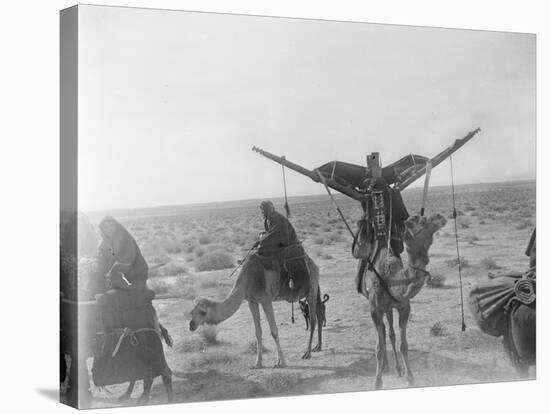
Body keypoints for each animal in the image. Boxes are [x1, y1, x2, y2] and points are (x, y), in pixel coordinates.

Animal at [192, 252, 326, 368]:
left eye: (203, 312)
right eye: (191, 312)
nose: (191, 325)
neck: (246, 280)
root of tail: (312, 262)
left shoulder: (265, 299)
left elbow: (274, 331)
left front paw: (282, 362)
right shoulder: (252, 301)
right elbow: (258, 332)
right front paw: (258, 363)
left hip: (311, 287)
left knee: (313, 320)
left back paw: (307, 353)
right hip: (313, 288)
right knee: (319, 312)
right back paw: (317, 347)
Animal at [358, 212, 448, 390]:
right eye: (421, 221)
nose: (440, 216)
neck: (392, 279)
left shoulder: (404, 307)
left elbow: (403, 345)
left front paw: (410, 377)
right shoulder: (374, 310)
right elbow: (378, 347)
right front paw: (377, 382)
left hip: (389, 308)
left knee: (390, 333)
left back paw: (398, 368)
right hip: (379, 308)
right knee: (384, 332)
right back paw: (385, 367)